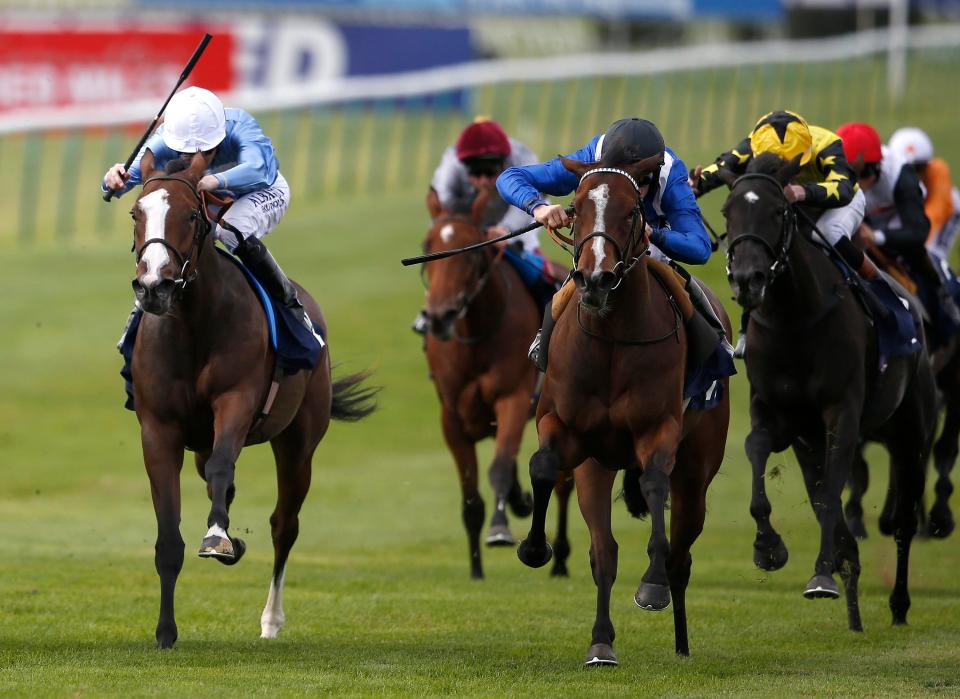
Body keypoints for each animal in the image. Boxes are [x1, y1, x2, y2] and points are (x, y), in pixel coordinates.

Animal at [126, 153, 378, 652]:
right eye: (135, 213)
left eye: (191, 214)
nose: (154, 287)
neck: (192, 326)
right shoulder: (159, 428)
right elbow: (169, 540)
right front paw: (165, 632)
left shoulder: (237, 400)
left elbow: (224, 469)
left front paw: (218, 539)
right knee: (218, 486)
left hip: (299, 441)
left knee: (284, 523)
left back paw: (271, 618)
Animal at [512, 156, 732, 664]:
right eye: (574, 206)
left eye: (633, 211)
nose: (595, 279)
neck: (611, 339)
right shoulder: (566, 428)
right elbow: (543, 465)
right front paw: (534, 548)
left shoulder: (659, 428)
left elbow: (653, 485)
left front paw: (651, 585)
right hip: (598, 466)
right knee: (605, 553)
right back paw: (601, 643)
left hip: (698, 470)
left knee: (681, 552)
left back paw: (680, 639)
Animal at [724, 154, 932, 636]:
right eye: (727, 212)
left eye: (778, 212)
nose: (747, 280)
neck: (794, 321)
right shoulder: (776, 414)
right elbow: (759, 452)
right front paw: (769, 547)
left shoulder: (842, 413)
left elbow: (835, 484)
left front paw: (821, 575)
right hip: (810, 443)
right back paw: (854, 608)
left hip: (911, 431)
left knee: (905, 522)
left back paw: (898, 604)